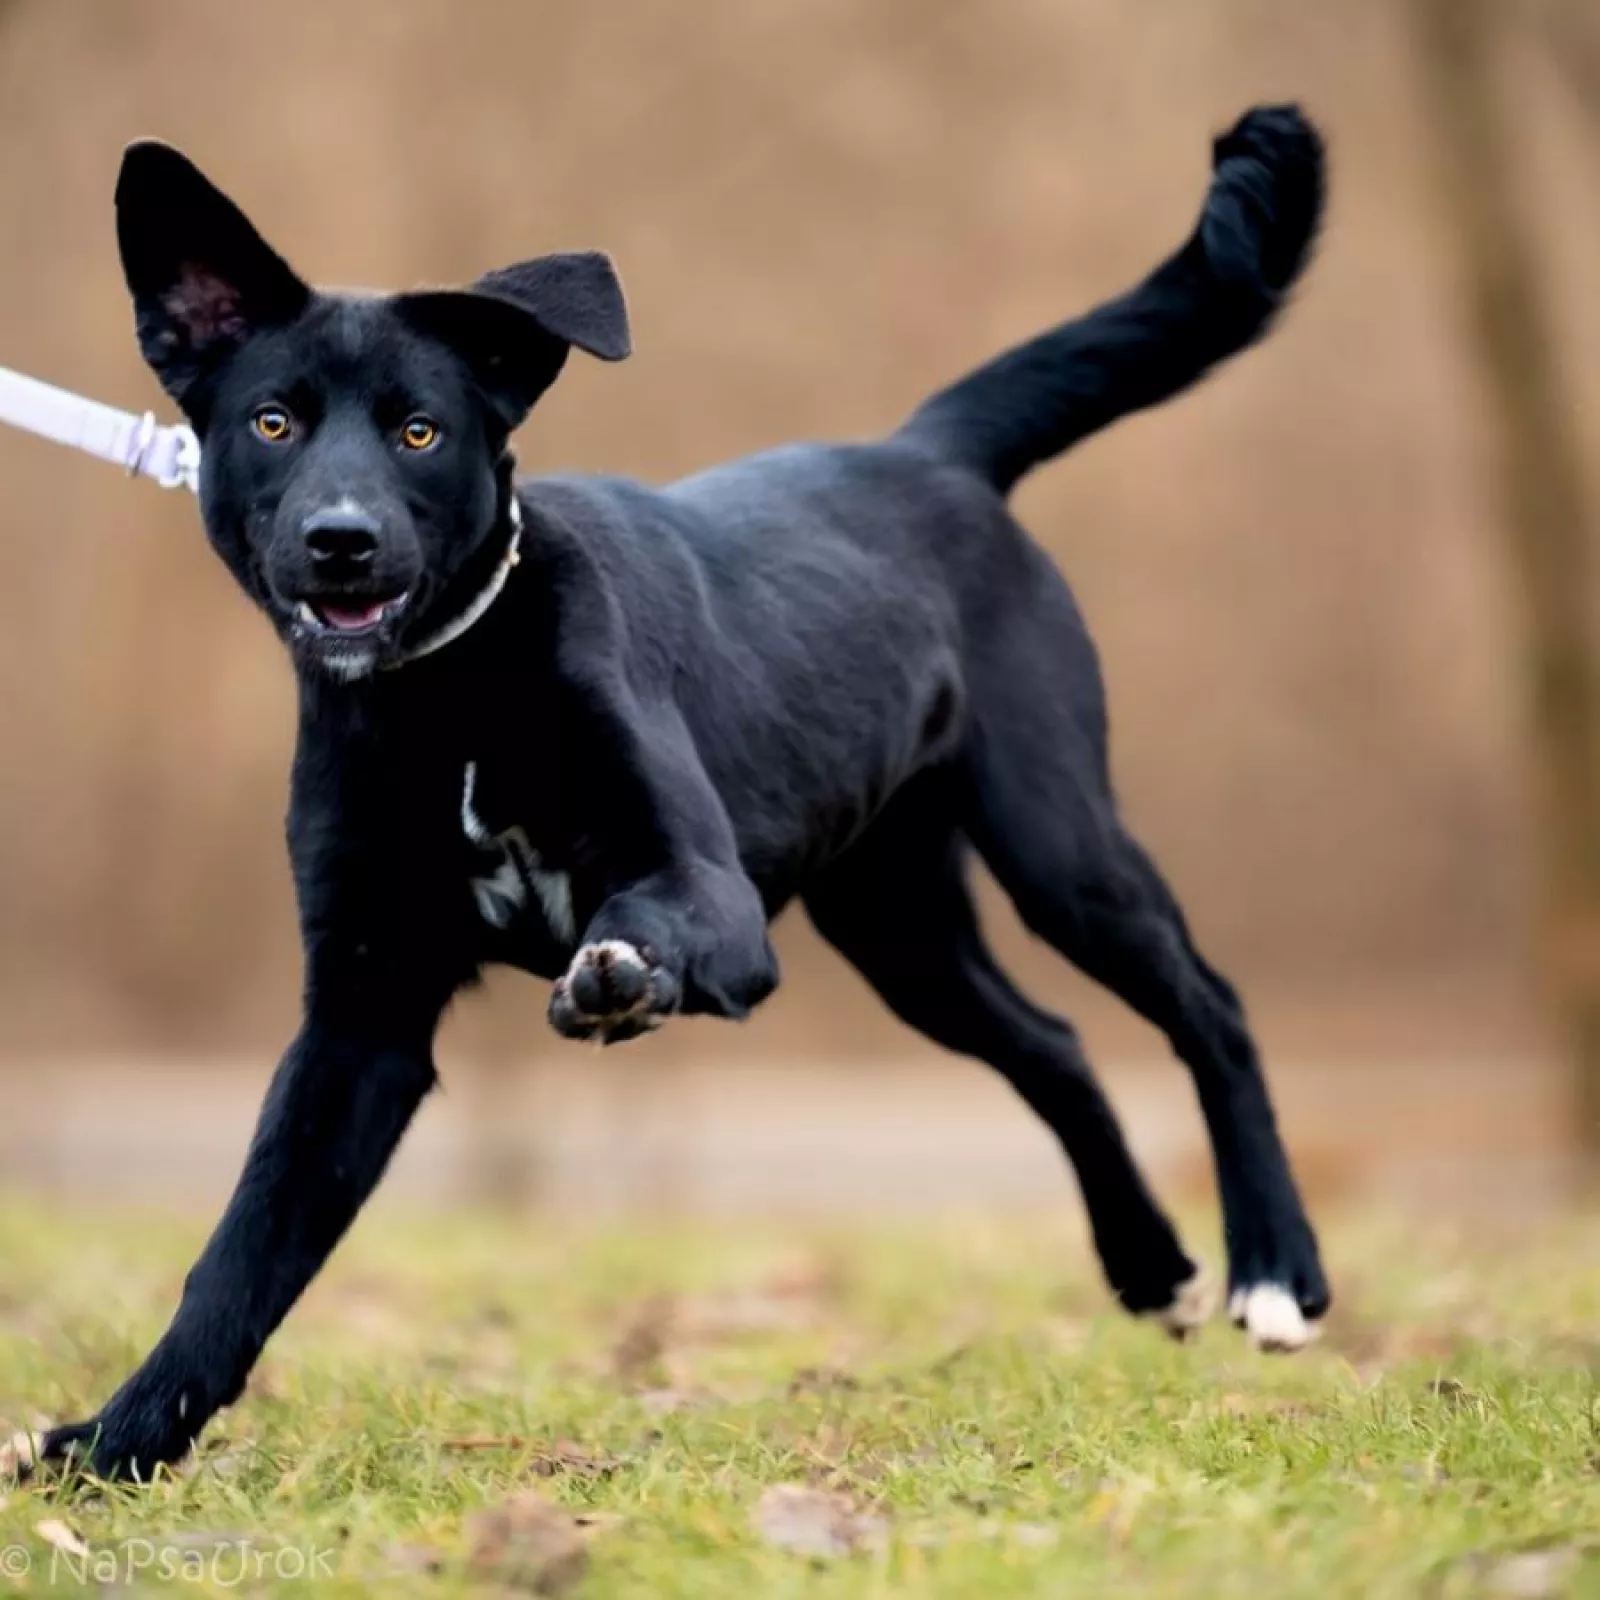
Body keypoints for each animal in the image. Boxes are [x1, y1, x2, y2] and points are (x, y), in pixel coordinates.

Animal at [17, 103, 1329, 1480]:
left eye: (421, 431)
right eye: (272, 422)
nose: (341, 542)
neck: (450, 693)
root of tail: (926, 450)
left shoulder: (712, 898)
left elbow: (643, 920)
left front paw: (623, 978)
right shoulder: (359, 1023)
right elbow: (243, 1253)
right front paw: (114, 1442)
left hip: (1055, 838)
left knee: (1208, 1005)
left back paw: (1275, 1270)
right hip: (899, 922)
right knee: (1055, 1047)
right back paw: (1149, 1265)